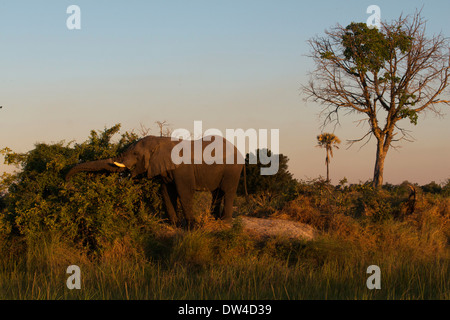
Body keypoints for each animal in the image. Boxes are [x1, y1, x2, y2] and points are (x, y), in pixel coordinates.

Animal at [66, 135, 246, 228]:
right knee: (217, 193)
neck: (162, 141)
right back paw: (214, 219)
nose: (67, 181)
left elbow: (184, 193)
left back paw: (225, 222)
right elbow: (166, 193)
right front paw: (174, 224)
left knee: (227, 191)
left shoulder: (183, 169)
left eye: (135, 155)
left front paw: (192, 227)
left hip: (232, 168)